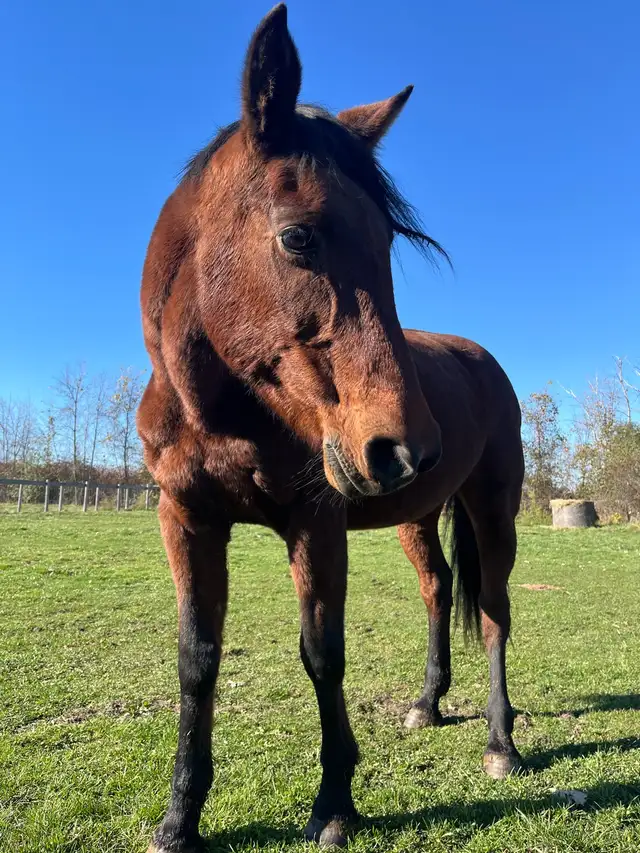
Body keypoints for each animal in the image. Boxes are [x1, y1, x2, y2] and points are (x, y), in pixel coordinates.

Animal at [137, 5, 525, 851]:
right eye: (298, 236)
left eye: (387, 242)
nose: (406, 446)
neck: (224, 413)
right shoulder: (185, 518)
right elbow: (195, 659)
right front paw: (180, 816)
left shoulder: (314, 521)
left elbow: (322, 651)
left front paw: (335, 801)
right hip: (416, 514)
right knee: (436, 588)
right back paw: (428, 703)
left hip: (493, 507)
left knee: (492, 610)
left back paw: (501, 742)